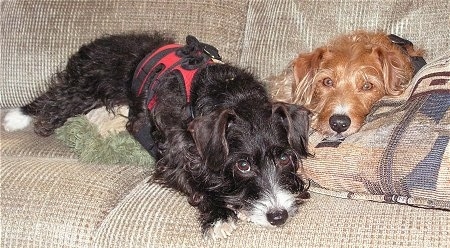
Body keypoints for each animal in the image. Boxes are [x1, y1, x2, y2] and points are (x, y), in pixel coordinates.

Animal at [3, 32, 312, 239]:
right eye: (243, 165)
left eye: (285, 158)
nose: (278, 216)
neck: (230, 93)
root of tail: (93, 44)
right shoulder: (173, 157)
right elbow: (195, 184)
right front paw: (218, 216)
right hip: (85, 88)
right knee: (55, 98)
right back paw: (17, 116)